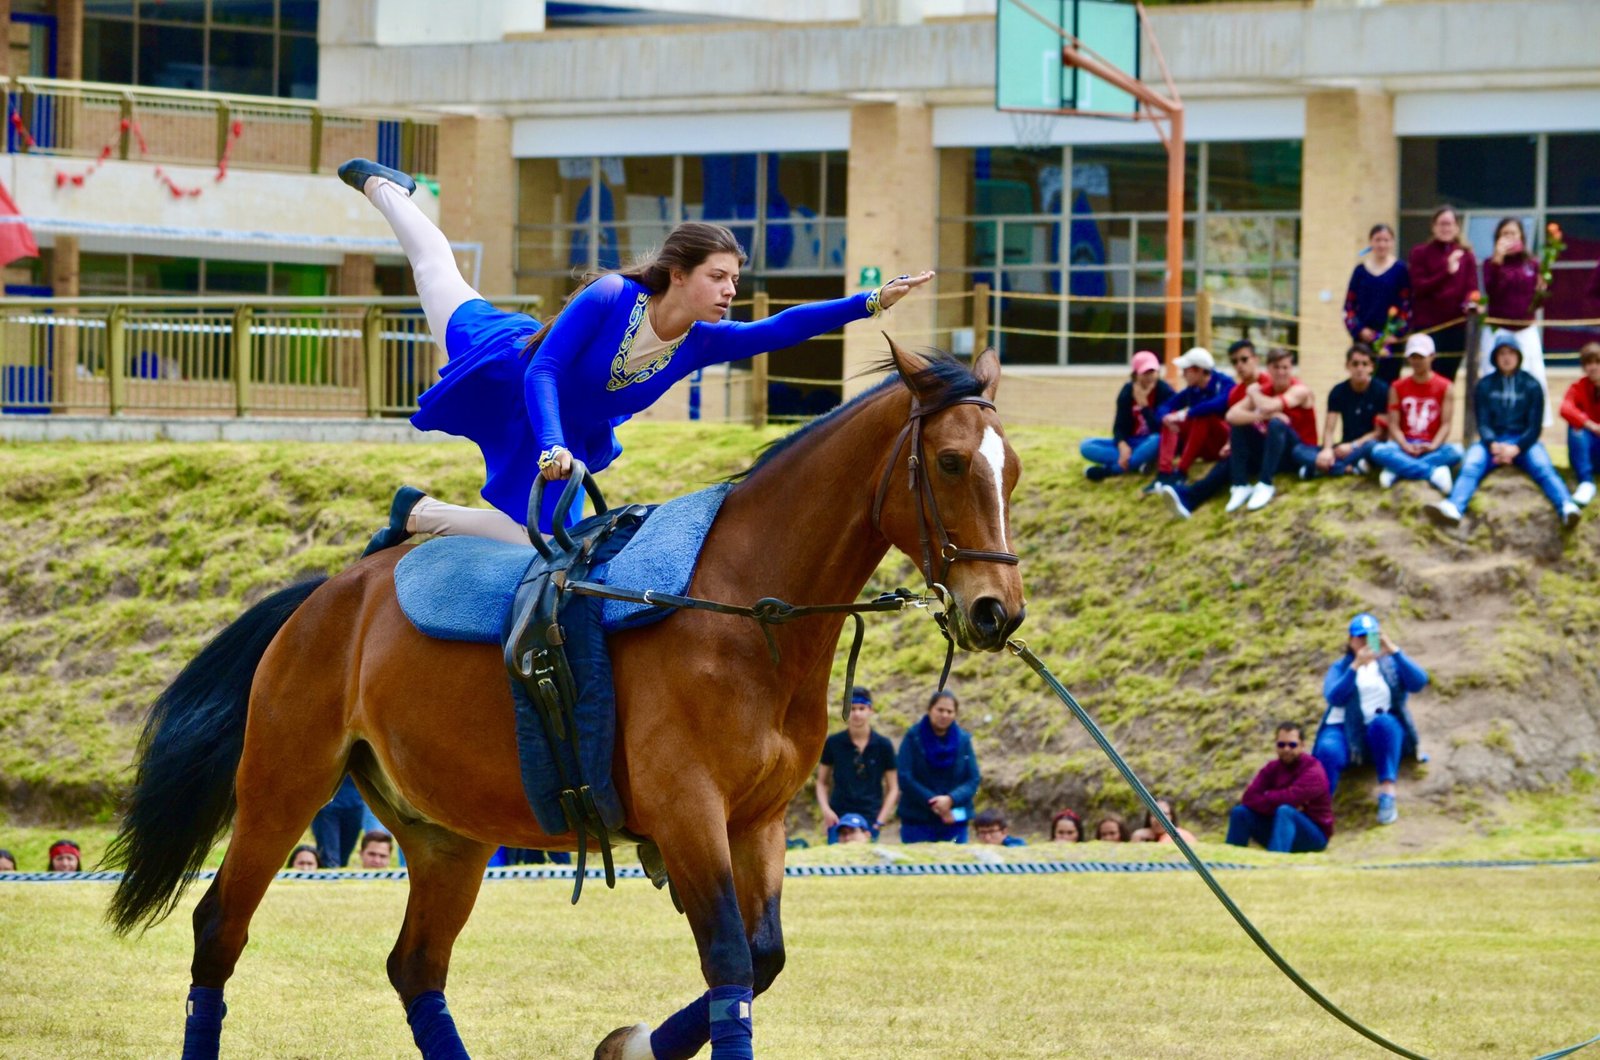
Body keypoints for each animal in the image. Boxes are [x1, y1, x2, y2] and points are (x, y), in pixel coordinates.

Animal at [106, 342, 1024, 1060]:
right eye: (950, 463)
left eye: (1009, 470)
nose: (996, 612)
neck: (742, 609)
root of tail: (323, 597)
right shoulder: (690, 813)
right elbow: (730, 964)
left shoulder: (757, 822)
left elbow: (759, 963)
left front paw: (629, 1044)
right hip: (283, 787)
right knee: (220, 932)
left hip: (447, 835)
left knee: (416, 966)